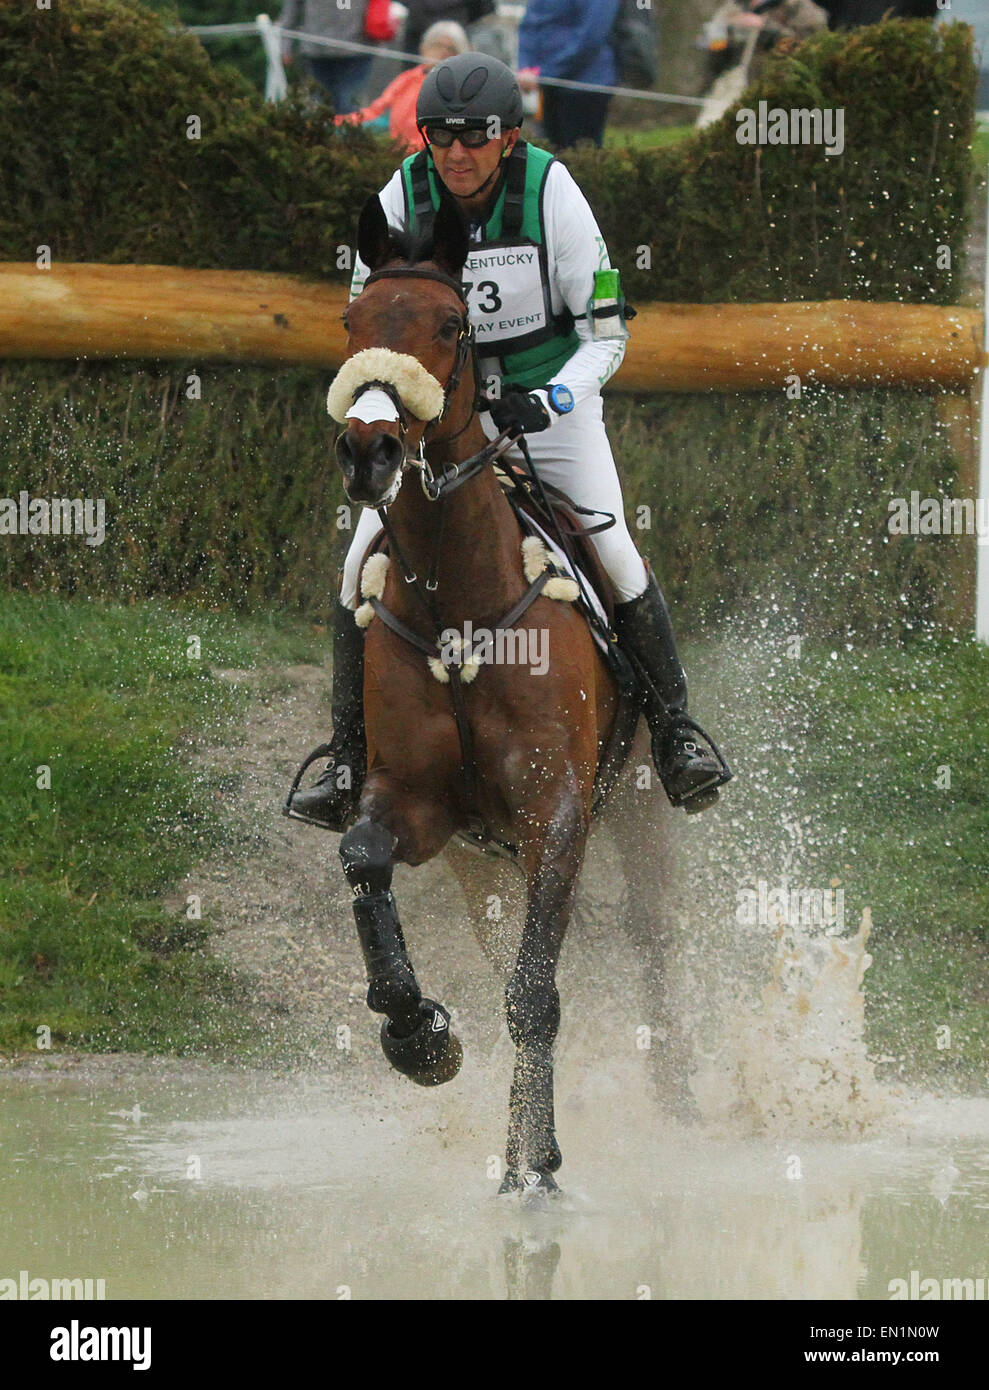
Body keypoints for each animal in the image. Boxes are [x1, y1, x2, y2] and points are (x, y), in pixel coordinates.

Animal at [330, 193, 641, 1195]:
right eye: (352, 322)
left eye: (450, 326)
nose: (370, 449)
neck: (458, 599)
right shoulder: (415, 804)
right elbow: (361, 859)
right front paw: (419, 1036)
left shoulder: (557, 815)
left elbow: (533, 993)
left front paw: (533, 1173)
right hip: (480, 866)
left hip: (640, 823)